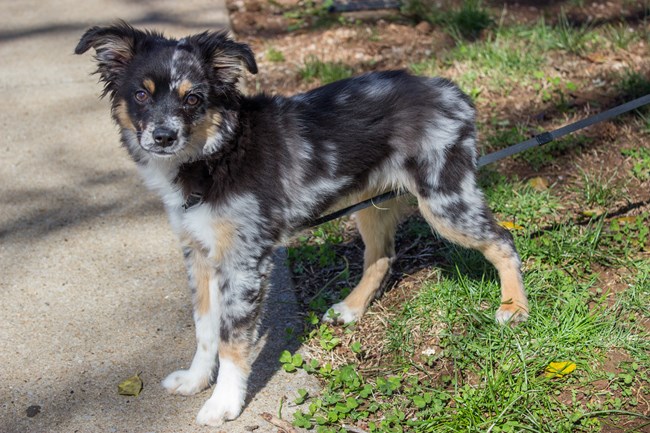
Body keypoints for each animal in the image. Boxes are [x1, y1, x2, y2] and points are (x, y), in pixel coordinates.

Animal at [74, 23, 528, 426]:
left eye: (193, 99)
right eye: (140, 94)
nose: (163, 137)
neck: (217, 153)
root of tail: (450, 89)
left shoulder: (245, 261)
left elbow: (231, 341)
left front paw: (224, 404)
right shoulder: (200, 254)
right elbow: (205, 329)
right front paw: (196, 380)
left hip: (445, 201)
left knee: (503, 240)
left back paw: (514, 308)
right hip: (370, 204)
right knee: (382, 256)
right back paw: (351, 308)